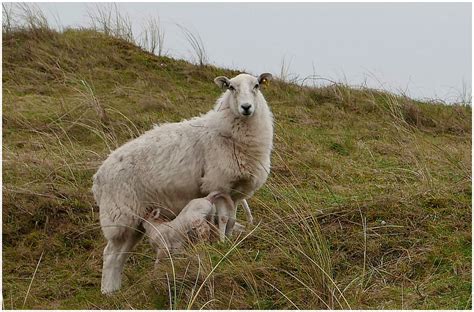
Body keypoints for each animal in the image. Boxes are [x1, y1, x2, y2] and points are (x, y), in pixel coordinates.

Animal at [93, 72, 274, 294]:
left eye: (257, 85)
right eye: (231, 87)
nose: (246, 107)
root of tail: (98, 177)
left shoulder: (236, 192)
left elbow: (231, 219)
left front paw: (228, 242)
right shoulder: (218, 183)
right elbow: (223, 218)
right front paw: (220, 244)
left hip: (135, 218)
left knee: (120, 255)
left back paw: (115, 291)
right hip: (119, 214)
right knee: (110, 254)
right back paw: (107, 292)